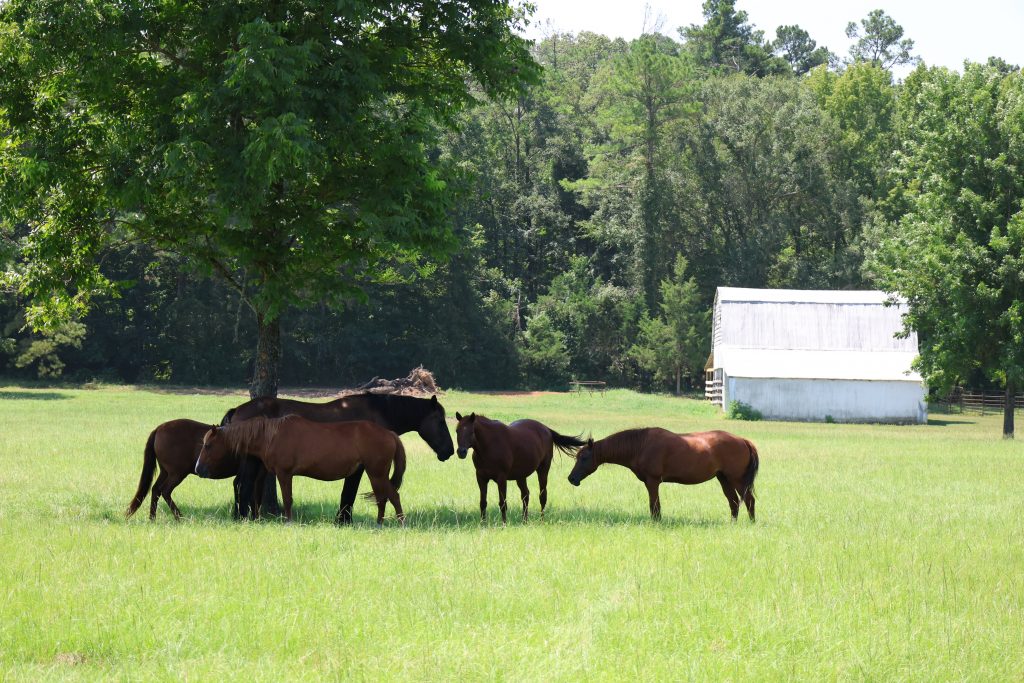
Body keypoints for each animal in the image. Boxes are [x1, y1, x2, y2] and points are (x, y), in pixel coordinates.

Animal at [195, 415, 406, 526]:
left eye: (208, 445)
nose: (198, 469)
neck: (271, 436)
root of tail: (390, 434)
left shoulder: (284, 474)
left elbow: (288, 499)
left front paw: (289, 521)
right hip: (376, 474)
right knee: (383, 498)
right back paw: (379, 523)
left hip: (376, 473)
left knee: (393, 496)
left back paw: (400, 523)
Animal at [223, 393, 453, 522]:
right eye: (441, 421)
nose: (450, 451)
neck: (376, 412)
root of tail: (238, 410)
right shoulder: (359, 469)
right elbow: (348, 494)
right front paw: (344, 520)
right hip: (251, 462)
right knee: (243, 485)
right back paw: (242, 517)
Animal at [453, 412, 586, 523]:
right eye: (457, 431)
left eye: (471, 432)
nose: (461, 452)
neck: (489, 446)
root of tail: (546, 429)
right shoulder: (481, 478)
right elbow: (483, 503)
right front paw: (483, 524)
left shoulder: (501, 478)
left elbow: (503, 503)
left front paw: (504, 524)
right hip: (521, 476)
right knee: (525, 495)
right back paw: (524, 521)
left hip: (543, 470)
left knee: (542, 496)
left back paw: (541, 520)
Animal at [567, 428, 759, 521]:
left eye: (584, 458)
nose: (571, 478)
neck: (641, 445)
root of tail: (743, 440)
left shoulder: (652, 482)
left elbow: (655, 506)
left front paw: (656, 522)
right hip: (724, 479)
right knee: (734, 503)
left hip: (737, 480)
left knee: (749, 500)